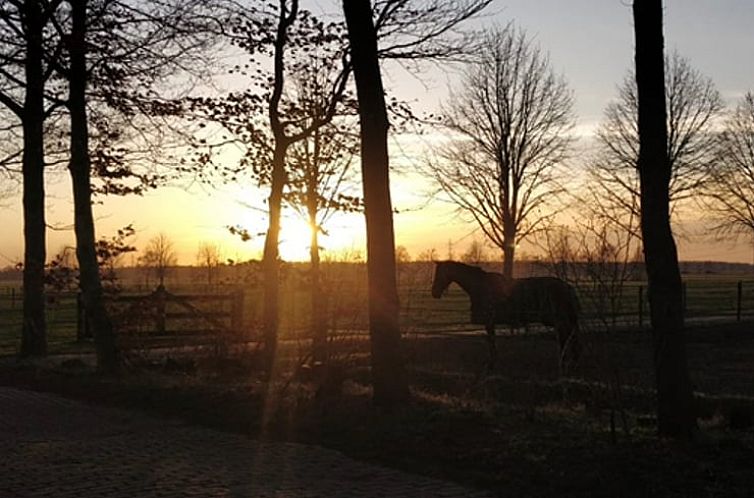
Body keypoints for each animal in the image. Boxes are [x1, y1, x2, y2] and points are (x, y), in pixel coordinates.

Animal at [428, 260, 580, 374]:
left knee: (566, 337)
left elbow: (492, 343)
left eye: (439, 273)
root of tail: (567, 287)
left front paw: (492, 364)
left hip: (558, 320)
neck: (480, 286)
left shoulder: (489, 322)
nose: (434, 292)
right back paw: (569, 361)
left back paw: (565, 362)